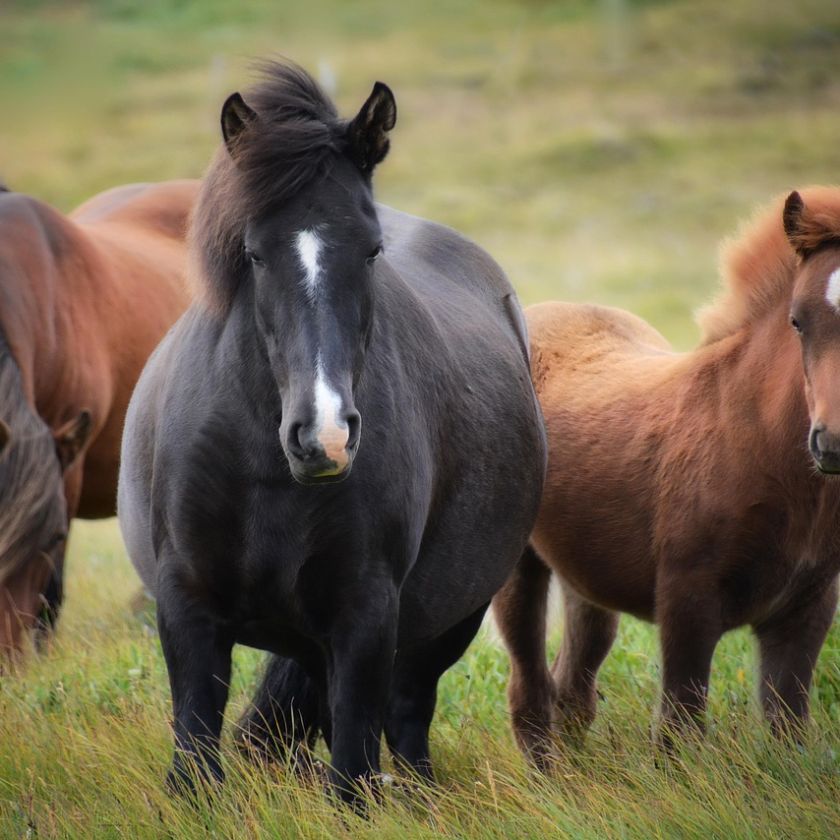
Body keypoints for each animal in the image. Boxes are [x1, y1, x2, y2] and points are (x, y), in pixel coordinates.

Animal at [117, 61, 545, 806]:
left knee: (406, 717)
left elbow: (351, 768)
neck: (263, 467)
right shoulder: (187, 606)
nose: (325, 437)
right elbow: (195, 754)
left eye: (371, 251)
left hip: (449, 619)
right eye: (254, 254)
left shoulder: (365, 614)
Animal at [494, 187, 840, 765]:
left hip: (586, 578)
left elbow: (786, 727)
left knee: (573, 685)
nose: (831, 442)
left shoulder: (807, 606)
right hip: (517, 567)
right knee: (529, 690)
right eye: (797, 321)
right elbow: (679, 727)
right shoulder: (687, 595)